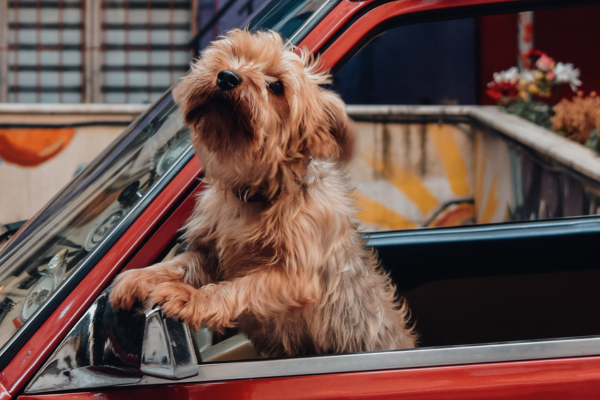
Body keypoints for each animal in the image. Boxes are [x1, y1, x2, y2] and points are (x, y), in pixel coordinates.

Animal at [109, 29, 418, 358]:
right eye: (234, 54)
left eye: (276, 86)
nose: (227, 77)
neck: (255, 191)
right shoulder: (210, 255)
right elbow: (178, 264)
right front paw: (139, 277)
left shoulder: (293, 277)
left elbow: (240, 287)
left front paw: (191, 299)